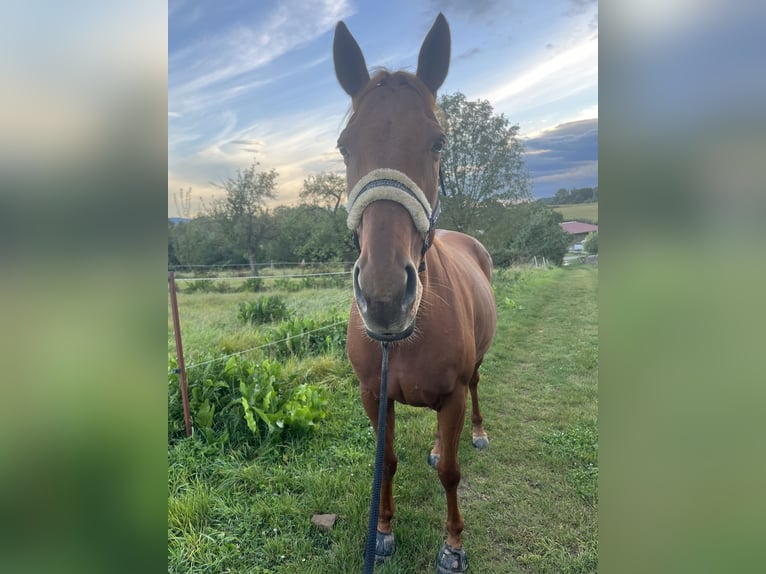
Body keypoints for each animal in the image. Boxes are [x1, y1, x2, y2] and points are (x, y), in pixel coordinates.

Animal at [336, 13, 498, 574]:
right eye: (344, 146)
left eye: (438, 142)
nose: (385, 296)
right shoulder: (374, 395)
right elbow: (385, 462)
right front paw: (382, 532)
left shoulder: (451, 395)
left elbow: (450, 471)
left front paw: (453, 545)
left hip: (471, 378)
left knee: (474, 395)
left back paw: (478, 432)